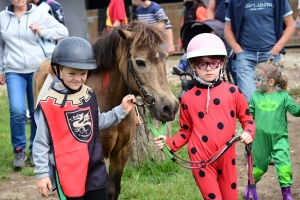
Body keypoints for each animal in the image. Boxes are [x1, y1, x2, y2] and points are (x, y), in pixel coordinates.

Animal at [33, 19, 179, 200]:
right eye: (140, 62)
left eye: (165, 57)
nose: (170, 107)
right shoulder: (100, 154)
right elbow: (106, 188)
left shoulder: (122, 151)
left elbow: (115, 188)